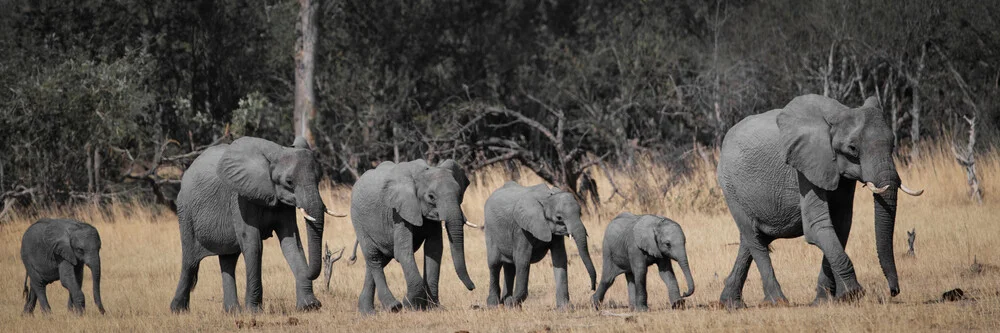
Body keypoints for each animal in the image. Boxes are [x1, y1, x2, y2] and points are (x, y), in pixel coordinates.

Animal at [170, 135, 346, 312]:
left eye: (319, 179)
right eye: (289, 181)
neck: (276, 153)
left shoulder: (283, 204)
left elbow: (292, 243)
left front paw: (309, 306)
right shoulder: (240, 197)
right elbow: (253, 244)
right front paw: (253, 312)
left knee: (228, 260)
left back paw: (233, 312)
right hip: (185, 212)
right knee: (190, 262)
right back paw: (178, 310)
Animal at [352, 158, 476, 314]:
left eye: (460, 194)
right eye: (431, 197)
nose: (473, 287)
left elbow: (434, 250)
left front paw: (433, 307)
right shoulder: (399, 212)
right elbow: (403, 252)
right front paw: (410, 305)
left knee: (380, 259)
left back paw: (367, 312)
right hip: (359, 221)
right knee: (373, 257)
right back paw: (393, 307)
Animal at [720, 94, 920, 308]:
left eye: (893, 145)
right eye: (852, 149)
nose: (894, 291)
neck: (838, 115)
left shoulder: (841, 175)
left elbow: (841, 225)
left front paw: (828, 300)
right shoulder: (806, 169)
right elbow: (817, 226)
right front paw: (854, 293)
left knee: (750, 240)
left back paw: (730, 304)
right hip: (731, 187)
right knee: (754, 238)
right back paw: (778, 301)